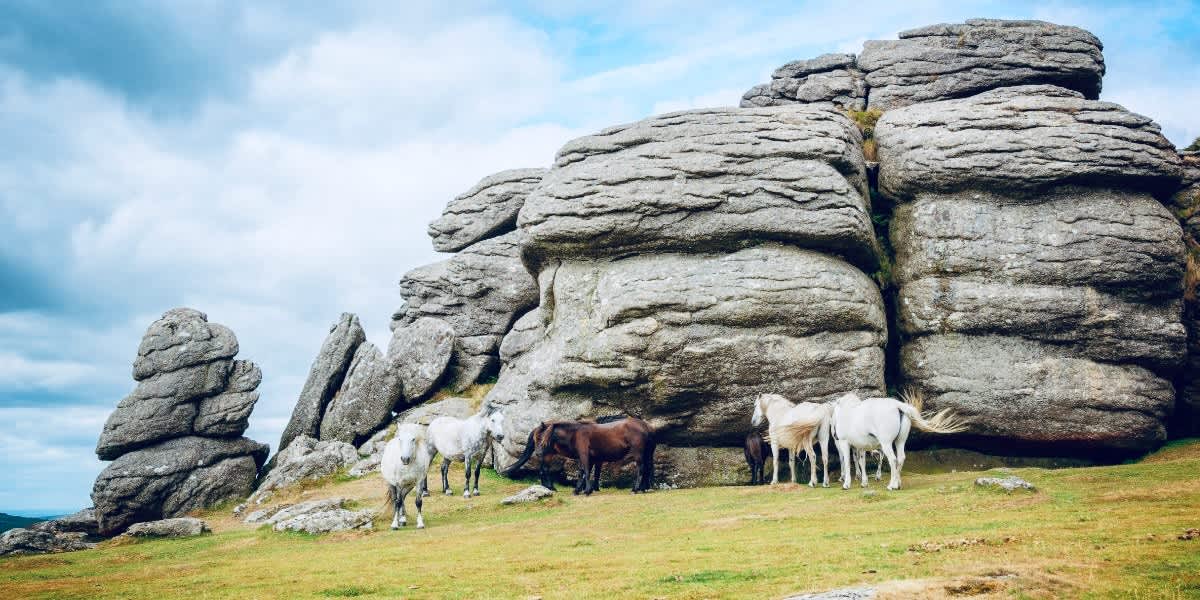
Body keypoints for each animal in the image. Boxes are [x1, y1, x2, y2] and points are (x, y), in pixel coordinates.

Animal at [830, 388, 969, 492]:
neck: (847, 412)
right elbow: (861, 462)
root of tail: (898, 405)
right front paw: (864, 483)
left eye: (833, 415)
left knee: (893, 459)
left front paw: (846, 484)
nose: (834, 435)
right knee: (901, 458)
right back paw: (898, 484)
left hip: (886, 443)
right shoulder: (861, 447)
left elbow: (847, 462)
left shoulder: (845, 443)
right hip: (899, 442)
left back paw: (891, 485)